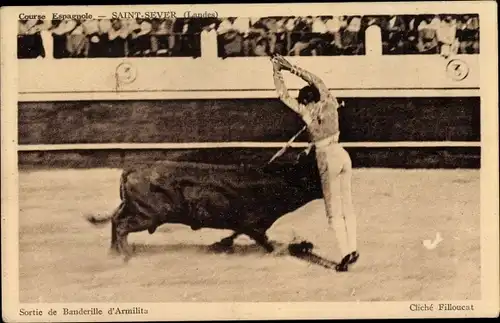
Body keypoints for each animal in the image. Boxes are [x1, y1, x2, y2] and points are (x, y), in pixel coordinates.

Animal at [86, 150, 324, 264]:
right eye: (314, 175)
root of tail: (133, 168)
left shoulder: (247, 225)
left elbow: (237, 234)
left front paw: (220, 245)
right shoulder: (254, 224)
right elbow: (269, 243)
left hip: (132, 208)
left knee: (116, 220)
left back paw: (113, 252)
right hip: (149, 215)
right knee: (122, 226)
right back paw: (127, 256)